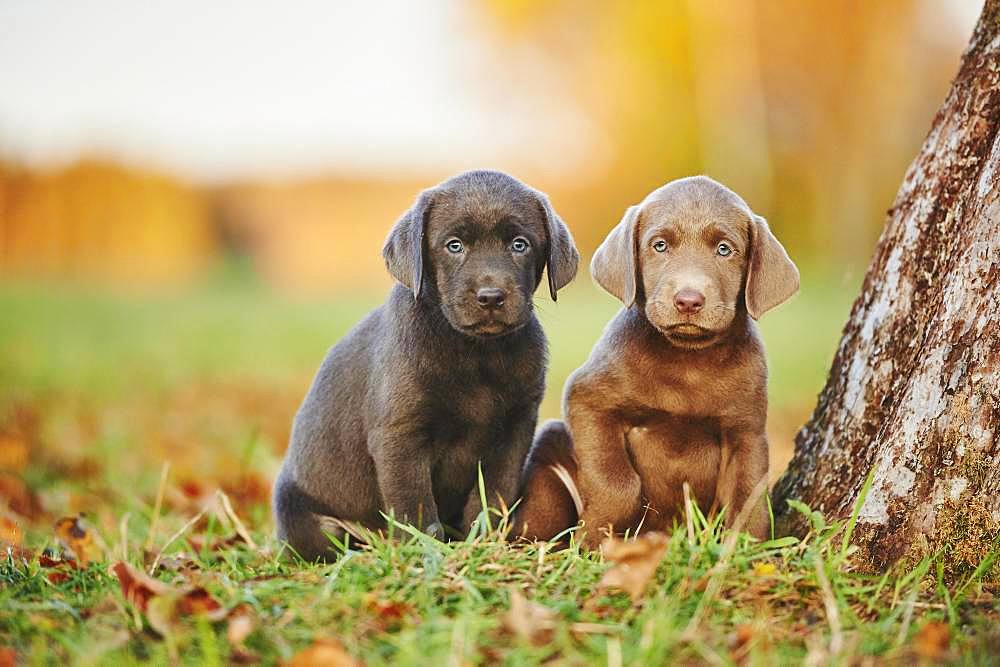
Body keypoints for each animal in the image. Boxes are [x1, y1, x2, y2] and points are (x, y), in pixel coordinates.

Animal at [274, 170, 584, 560]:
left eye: (519, 245)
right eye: (454, 246)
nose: (491, 297)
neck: (476, 353)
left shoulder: (515, 430)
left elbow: (494, 493)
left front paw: (483, 541)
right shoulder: (401, 435)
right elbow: (415, 503)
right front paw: (424, 550)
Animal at [520, 175, 800, 544]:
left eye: (725, 249)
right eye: (660, 245)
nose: (689, 300)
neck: (687, 361)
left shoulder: (746, 432)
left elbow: (748, 500)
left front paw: (744, 549)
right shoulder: (588, 400)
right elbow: (617, 481)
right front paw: (594, 538)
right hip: (550, 449)